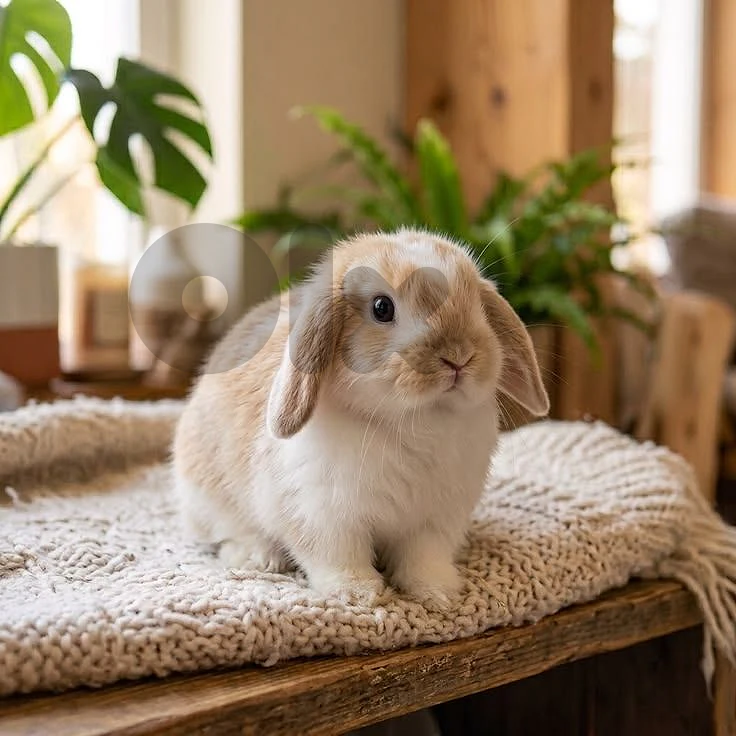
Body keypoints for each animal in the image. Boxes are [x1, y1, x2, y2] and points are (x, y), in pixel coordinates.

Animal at [173, 228, 549, 607]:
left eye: (476, 304)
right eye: (382, 308)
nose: (459, 357)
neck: (414, 420)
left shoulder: (433, 523)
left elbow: (423, 559)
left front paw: (438, 594)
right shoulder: (324, 516)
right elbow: (337, 556)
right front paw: (359, 594)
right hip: (209, 500)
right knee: (229, 533)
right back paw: (258, 557)